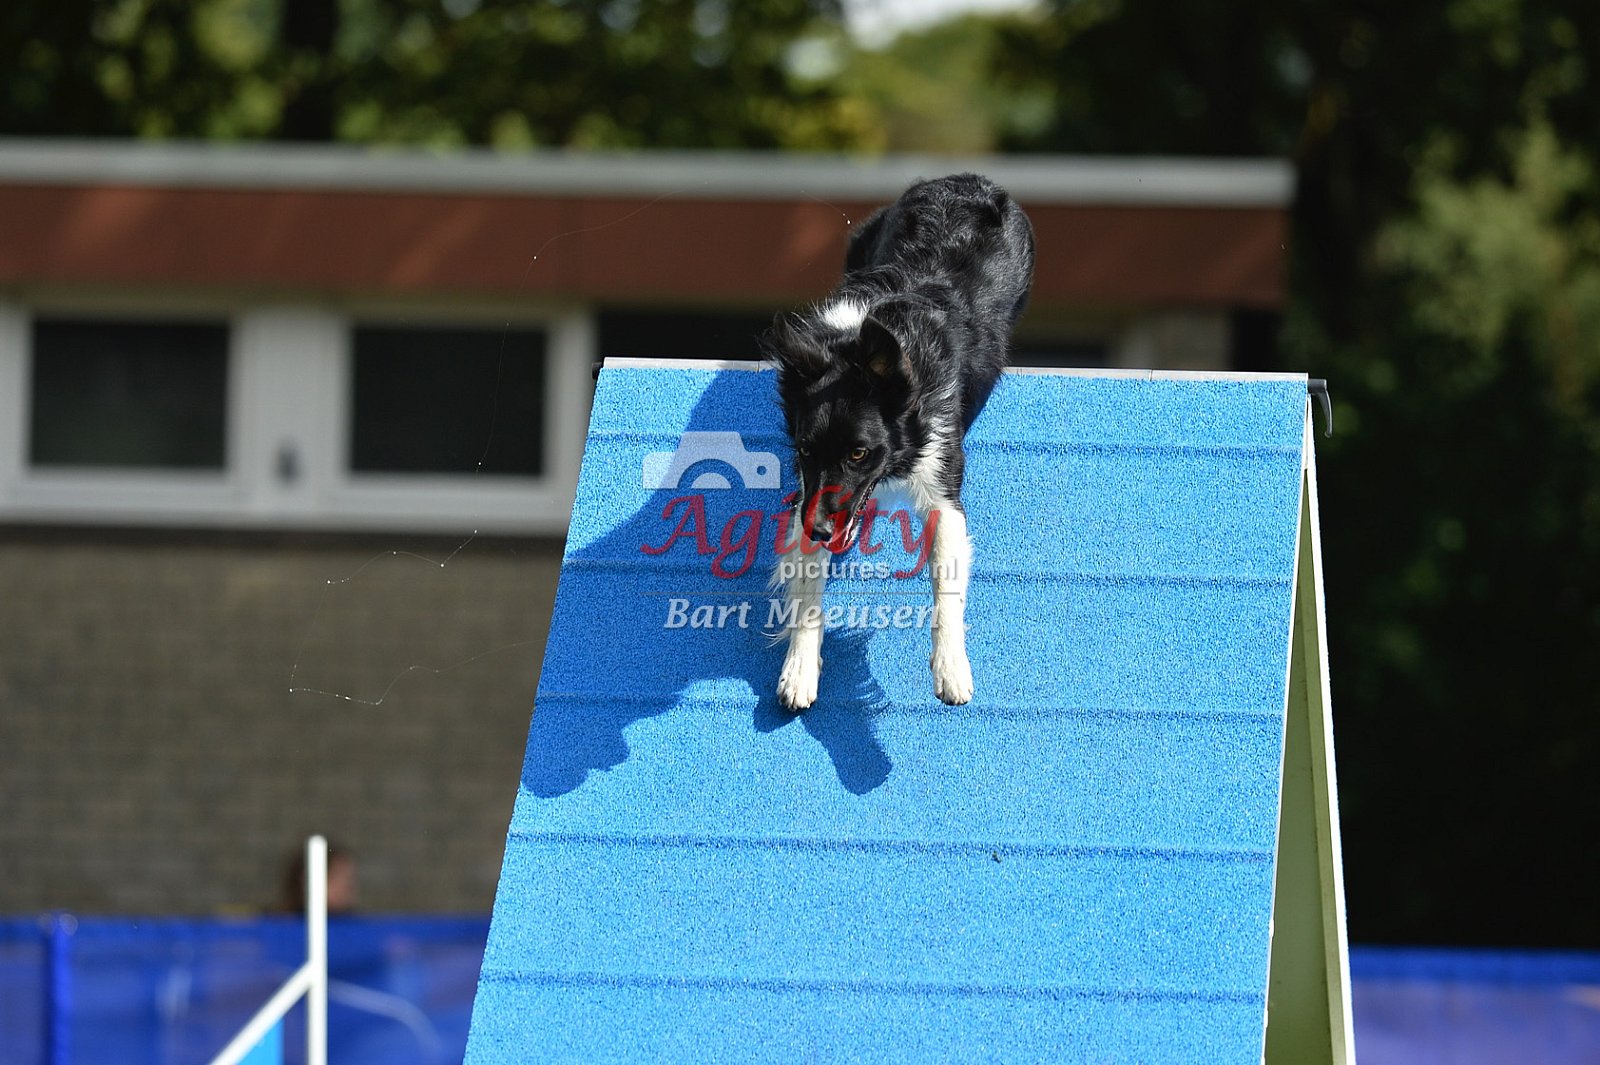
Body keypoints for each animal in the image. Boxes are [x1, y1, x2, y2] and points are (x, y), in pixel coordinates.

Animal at [763, 173, 1035, 710]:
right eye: (804, 450)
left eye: (859, 453)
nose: (819, 530)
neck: (858, 345)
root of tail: (967, 180)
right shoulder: (809, 493)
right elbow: (807, 586)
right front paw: (799, 668)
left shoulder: (942, 486)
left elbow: (944, 586)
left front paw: (951, 667)